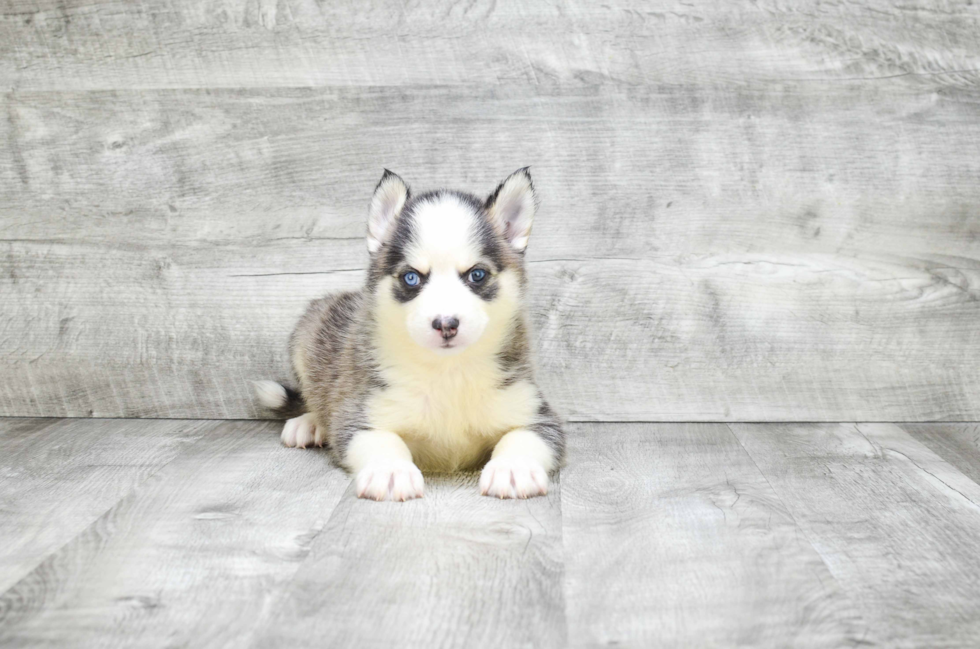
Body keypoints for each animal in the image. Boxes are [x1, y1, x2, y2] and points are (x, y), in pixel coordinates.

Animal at [253, 168, 564, 502]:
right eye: (411, 277)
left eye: (477, 274)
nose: (446, 324)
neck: (447, 372)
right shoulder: (361, 413)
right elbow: (382, 439)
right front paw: (389, 470)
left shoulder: (538, 413)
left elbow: (524, 436)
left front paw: (514, 468)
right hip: (307, 333)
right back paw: (310, 423)